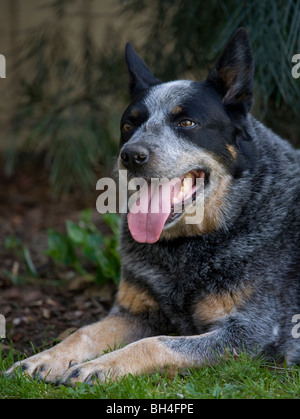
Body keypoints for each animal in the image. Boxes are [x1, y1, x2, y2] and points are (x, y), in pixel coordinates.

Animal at [5, 27, 300, 386]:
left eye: (187, 123)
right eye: (128, 125)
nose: (131, 155)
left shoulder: (252, 333)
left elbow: (156, 342)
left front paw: (101, 366)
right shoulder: (134, 312)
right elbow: (83, 332)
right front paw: (44, 358)